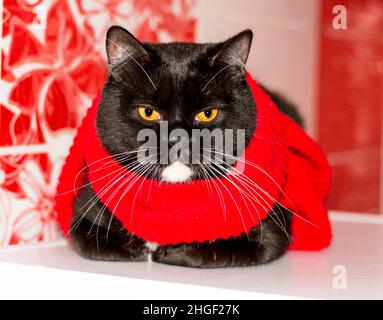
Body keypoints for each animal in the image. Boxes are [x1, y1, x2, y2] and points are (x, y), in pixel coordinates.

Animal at [69, 26, 304, 268]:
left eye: (208, 113)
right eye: (148, 112)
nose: (177, 137)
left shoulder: (270, 232)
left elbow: (231, 247)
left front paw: (172, 252)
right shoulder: (84, 215)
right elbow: (92, 240)